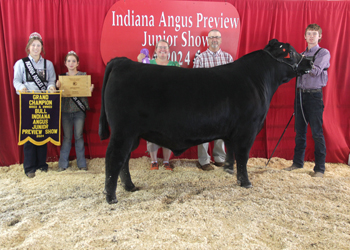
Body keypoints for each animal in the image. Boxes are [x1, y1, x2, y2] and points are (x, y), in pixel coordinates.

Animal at [98, 38, 312, 203]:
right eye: (291, 52)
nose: (310, 62)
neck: (258, 80)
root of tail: (122, 62)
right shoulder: (248, 129)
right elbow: (243, 156)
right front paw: (246, 182)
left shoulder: (232, 131)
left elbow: (231, 152)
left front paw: (229, 171)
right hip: (123, 131)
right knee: (114, 158)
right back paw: (111, 197)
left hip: (131, 135)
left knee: (124, 160)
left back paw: (130, 187)